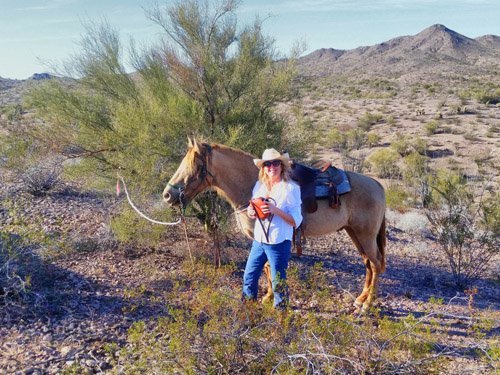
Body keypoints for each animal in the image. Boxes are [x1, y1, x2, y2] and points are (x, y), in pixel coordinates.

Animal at [164, 140, 386, 312]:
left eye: (193, 166)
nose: (167, 195)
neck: (251, 184)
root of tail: (377, 185)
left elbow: (270, 266)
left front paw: (270, 298)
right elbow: (266, 268)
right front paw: (268, 296)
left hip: (365, 235)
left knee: (375, 264)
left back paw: (367, 305)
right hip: (354, 233)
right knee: (368, 263)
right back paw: (360, 299)